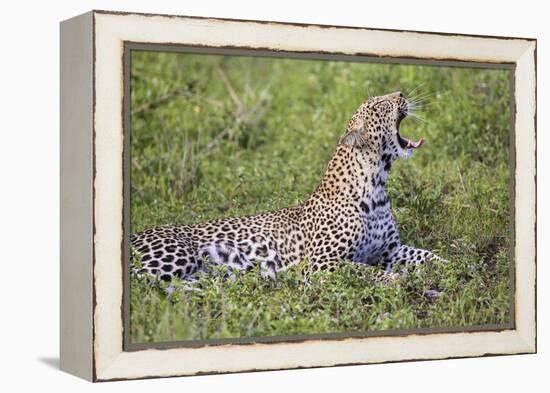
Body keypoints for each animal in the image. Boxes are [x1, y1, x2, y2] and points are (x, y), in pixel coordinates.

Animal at [133, 90, 448, 284]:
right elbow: (361, 268)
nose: (402, 94)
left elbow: (425, 254)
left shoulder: (390, 249)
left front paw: (449, 265)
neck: (376, 185)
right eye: (380, 105)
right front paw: (393, 279)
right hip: (175, 257)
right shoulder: (321, 263)